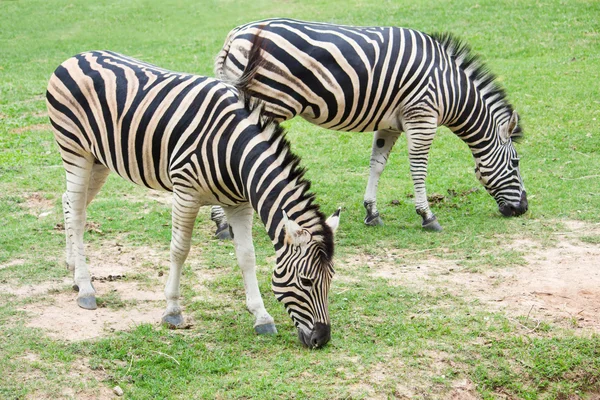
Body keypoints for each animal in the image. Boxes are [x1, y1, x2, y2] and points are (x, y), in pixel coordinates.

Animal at [44, 51, 340, 348]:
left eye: (331, 278)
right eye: (306, 281)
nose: (322, 338)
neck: (235, 153)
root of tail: (77, 56)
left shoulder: (239, 204)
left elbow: (247, 256)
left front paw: (261, 316)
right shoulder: (185, 192)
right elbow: (180, 250)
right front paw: (173, 311)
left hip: (99, 159)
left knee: (69, 202)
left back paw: (72, 267)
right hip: (75, 151)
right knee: (78, 215)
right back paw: (85, 288)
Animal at [209, 18, 528, 238]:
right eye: (515, 162)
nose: (523, 209)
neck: (449, 87)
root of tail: (235, 36)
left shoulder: (390, 125)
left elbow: (377, 164)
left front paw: (372, 212)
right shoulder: (422, 117)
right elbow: (419, 169)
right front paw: (428, 216)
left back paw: (223, 221)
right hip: (267, 101)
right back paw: (224, 223)